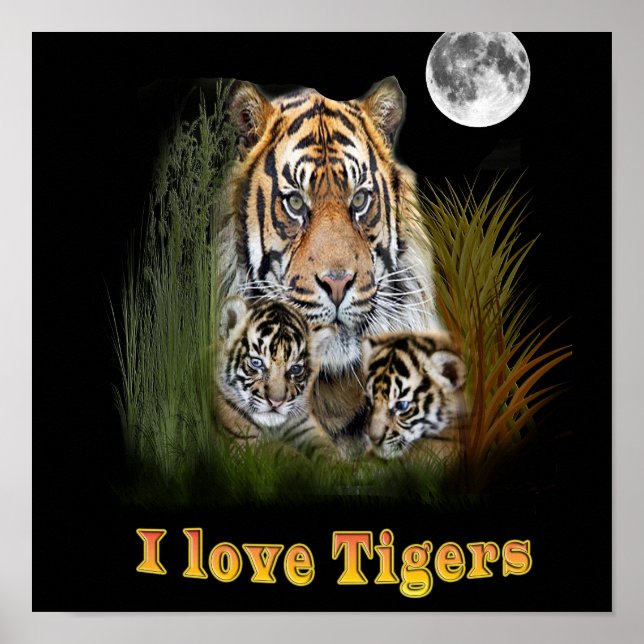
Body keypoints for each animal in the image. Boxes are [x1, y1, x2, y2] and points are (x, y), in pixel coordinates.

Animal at [216, 295, 337, 457]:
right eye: (256, 363)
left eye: (295, 369)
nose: (276, 403)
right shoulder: (244, 442)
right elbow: (284, 453)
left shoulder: (305, 424)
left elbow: (328, 450)